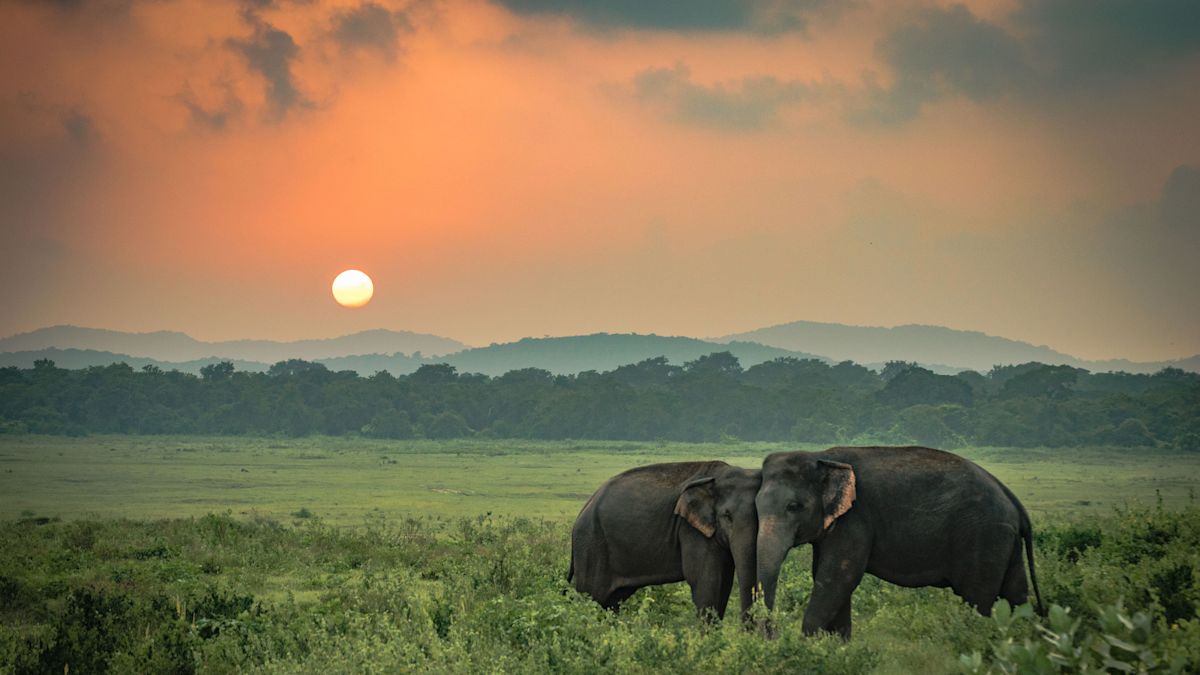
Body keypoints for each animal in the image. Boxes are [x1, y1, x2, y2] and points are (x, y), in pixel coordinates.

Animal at [569, 461, 762, 621]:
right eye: (727, 516)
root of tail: (583, 510)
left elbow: (724, 583)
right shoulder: (690, 530)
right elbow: (705, 581)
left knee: (611, 602)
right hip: (591, 545)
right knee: (592, 596)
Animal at [755, 446, 1044, 639]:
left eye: (794, 506)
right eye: (756, 506)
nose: (773, 635)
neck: (821, 456)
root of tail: (1013, 500)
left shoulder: (855, 519)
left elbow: (837, 578)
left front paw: (807, 645)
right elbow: (829, 578)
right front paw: (837, 647)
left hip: (984, 536)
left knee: (977, 598)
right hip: (1004, 540)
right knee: (1016, 593)